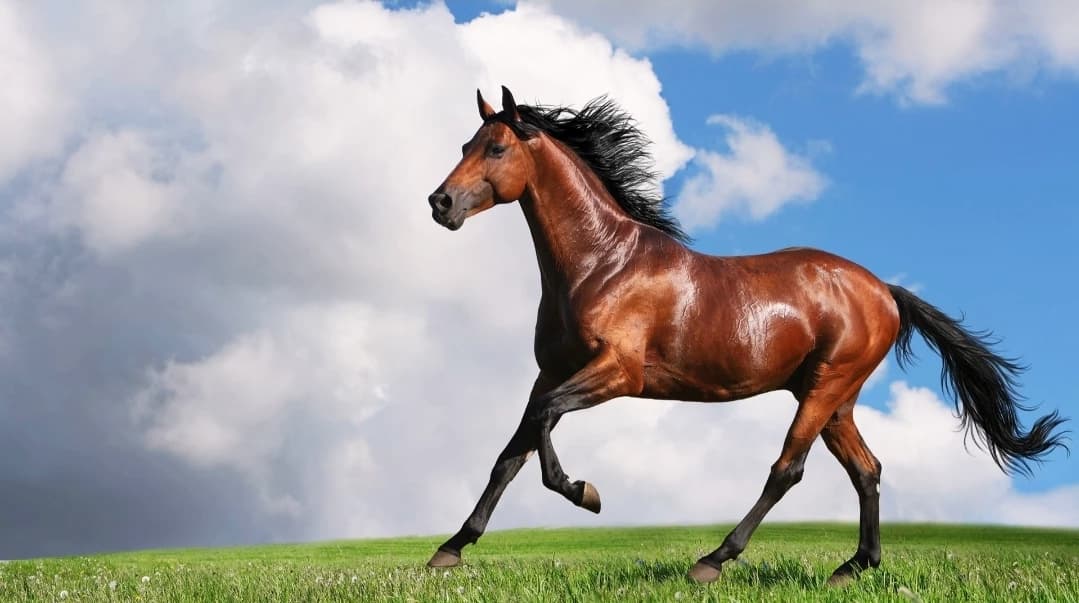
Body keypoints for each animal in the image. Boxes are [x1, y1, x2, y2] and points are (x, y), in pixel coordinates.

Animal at [423, 86, 1068, 585]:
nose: (440, 202)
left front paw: (585, 492)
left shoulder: (617, 373)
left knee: (788, 468)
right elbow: (512, 452)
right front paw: (450, 550)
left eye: (497, 147)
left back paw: (713, 560)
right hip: (835, 398)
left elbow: (543, 429)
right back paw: (853, 567)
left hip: (826, 388)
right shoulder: (550, 372)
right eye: (465, 146)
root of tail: (884, 290)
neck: (600, 264)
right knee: (867, 469)